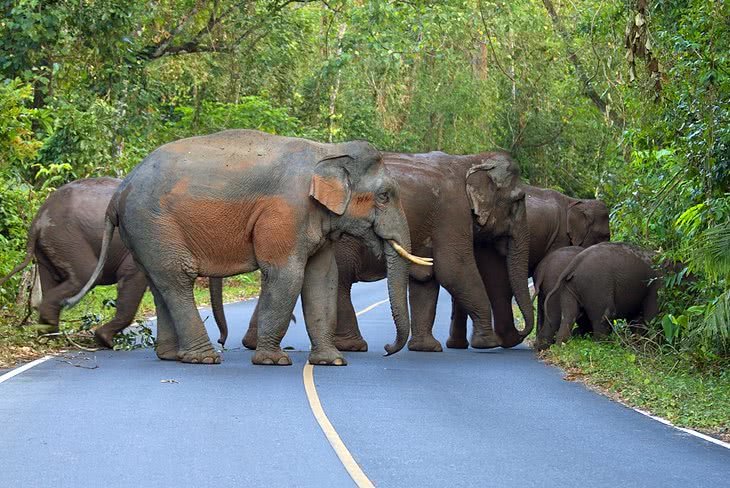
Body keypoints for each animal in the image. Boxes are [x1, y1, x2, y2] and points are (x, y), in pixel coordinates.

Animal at [0, 177, 228, 348]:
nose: (221, 342)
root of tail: (37, 221)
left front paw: (104, 339)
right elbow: (133, 279)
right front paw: (106, 341)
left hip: (49, 247)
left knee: (51, 282)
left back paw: (48, 337)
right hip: (66, 238)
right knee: (84, 276)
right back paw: (52, 337)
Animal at [66, 130, 426, 366]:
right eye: (384, 196)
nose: (387, 348)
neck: (326, 151)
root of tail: (119, 191)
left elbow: (321, 280)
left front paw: (332, 362)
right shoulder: (287, 212)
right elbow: (285, 275)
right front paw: (273, 361)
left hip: (143, 232)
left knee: (159, 282)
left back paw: (171, 356)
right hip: (152, 223)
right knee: (177, 276)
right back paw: (204, 358)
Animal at [316, 151, 532, 352]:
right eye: (517, 200)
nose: (519, 335)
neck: (470, 160)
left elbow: (425, 279)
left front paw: (426, 348)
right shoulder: (452, 212)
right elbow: (454, 270)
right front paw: (488, 343)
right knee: (340, 281)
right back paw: (353, 346)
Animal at [450, 185, 608, 348]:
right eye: (603, 235)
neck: (576, 202)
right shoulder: (559, 238)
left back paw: (458, 345)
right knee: (499, 285)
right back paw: (510, 340)